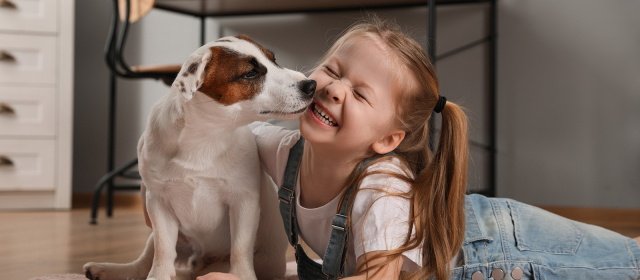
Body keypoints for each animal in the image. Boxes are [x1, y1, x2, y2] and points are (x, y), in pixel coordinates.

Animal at [82, 35, 318, 280]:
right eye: (251, 73)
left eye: (274, 60)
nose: (311, 85)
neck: (206, 136)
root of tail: (199, 262)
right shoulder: (158, 202)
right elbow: (163, 250)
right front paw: (159, 275)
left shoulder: (243, 201)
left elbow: (241, 248)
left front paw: (242, 275)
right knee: (142, 263)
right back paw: (106, 269)